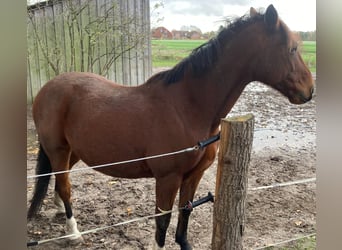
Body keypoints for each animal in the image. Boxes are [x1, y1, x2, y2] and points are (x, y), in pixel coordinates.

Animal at [28, 4, 314, 249]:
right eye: (292, 48)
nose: (309, 90)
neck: (187, 107)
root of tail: (47, 89)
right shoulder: (168, 178)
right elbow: (162, 222)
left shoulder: (193, 175)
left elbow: (185, 213)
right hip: (58, 149)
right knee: (64, 186)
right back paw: (73, 232)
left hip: (74, 151)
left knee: (58, 180)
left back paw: (59, 212)